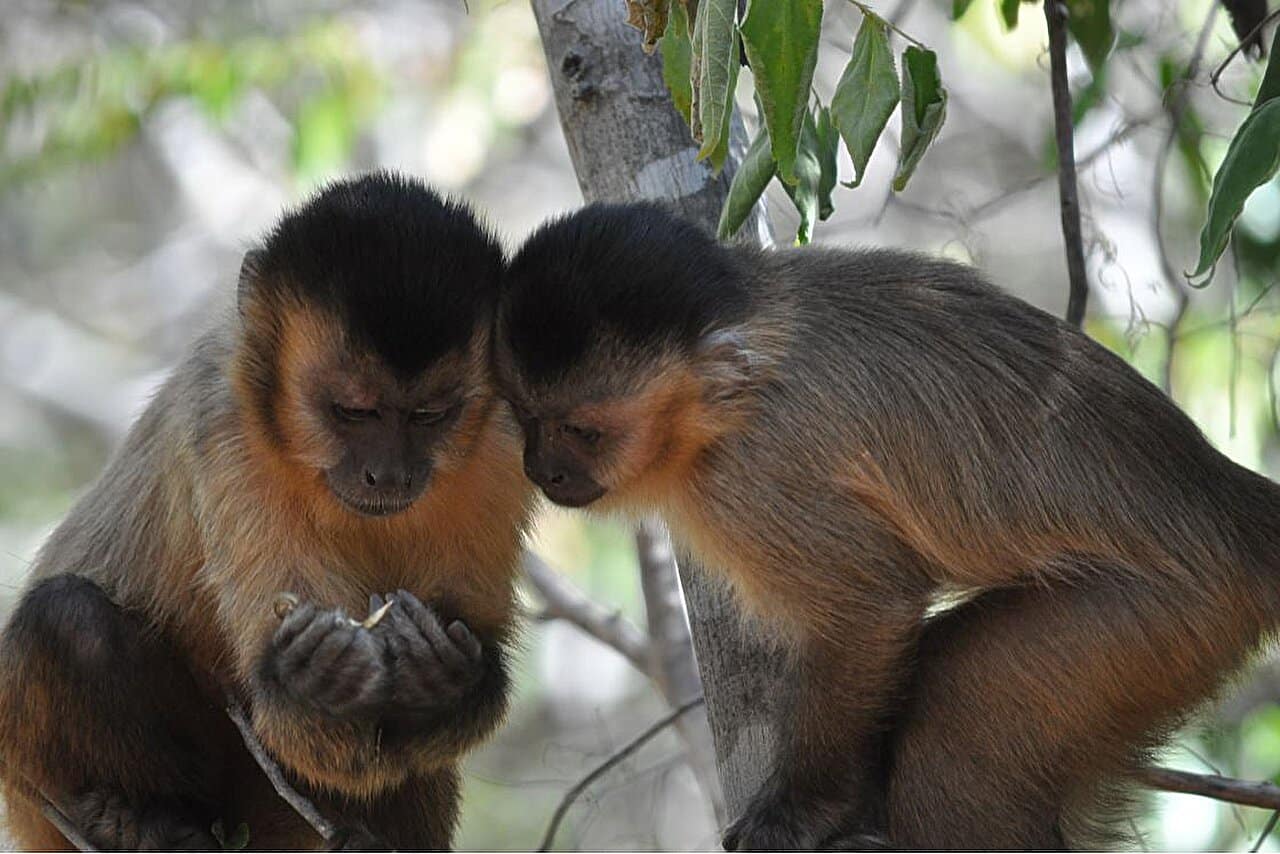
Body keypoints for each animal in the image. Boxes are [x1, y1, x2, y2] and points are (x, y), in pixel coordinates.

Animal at [491, 203, 1280, 850]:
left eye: (582, 432)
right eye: (525, 418)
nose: (541, 470)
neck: (727, 400)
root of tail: (1233, 505)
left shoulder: (756, 474)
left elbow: (871, 604)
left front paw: (802, 812)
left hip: (1168, 618)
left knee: (958, 710)